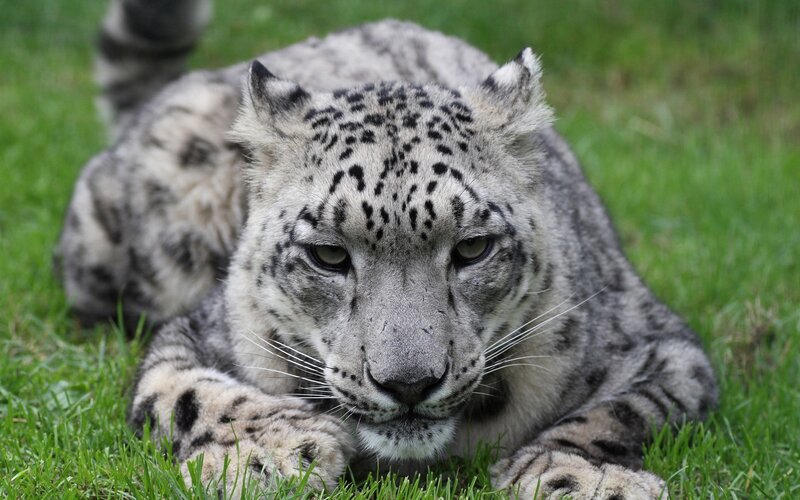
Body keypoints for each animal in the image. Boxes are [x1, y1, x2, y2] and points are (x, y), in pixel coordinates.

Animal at [55, 0, 719, 497]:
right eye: (328, 255)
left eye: (472, 248)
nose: (408, 384)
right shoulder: (199, 334)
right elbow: (186, 391)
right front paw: (273, 453)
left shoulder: (661, 346)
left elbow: (618, 411)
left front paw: (583, 478)